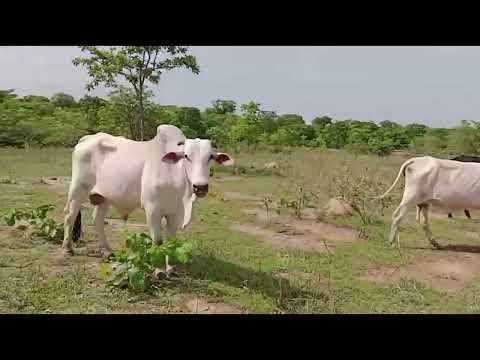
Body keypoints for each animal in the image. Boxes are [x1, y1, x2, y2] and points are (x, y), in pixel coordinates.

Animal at [62, 125, 234, 258]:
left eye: (210, 157)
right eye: (186, 156)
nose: (201, 186)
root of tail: (86, 139)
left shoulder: (176, 213)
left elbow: (170, 241)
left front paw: (170, 269)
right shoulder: (153, 209)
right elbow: (158, 241)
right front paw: (158, 270)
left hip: (104, 197)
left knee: (97, 219)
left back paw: (106, 250)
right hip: (78, 190)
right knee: (70, 216)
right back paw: (67, 248)